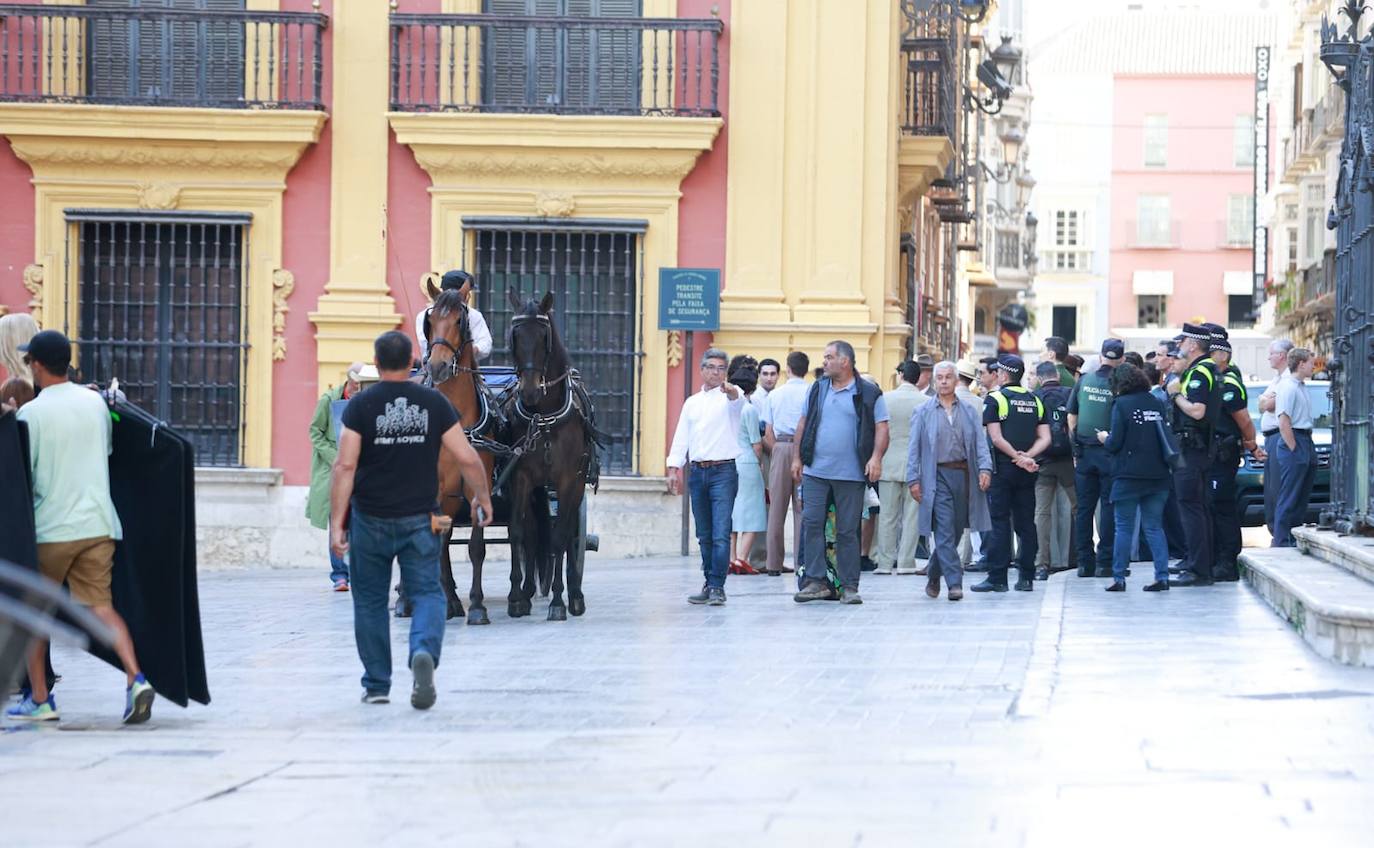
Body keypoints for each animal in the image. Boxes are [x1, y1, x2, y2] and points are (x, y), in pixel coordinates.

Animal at [502, 292, 593, 621]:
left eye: (544, 336)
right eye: (515, 335)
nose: (529, 391)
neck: (542, 416)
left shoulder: (568, 481)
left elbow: (559, 538)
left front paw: (557, 601)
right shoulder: (520, 478)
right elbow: (518, 532)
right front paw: (516, 597)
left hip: (574, 487)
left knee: (567, 538)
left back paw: (574, 594)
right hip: (537, 488)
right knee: (532, 533)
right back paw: (529, 590)